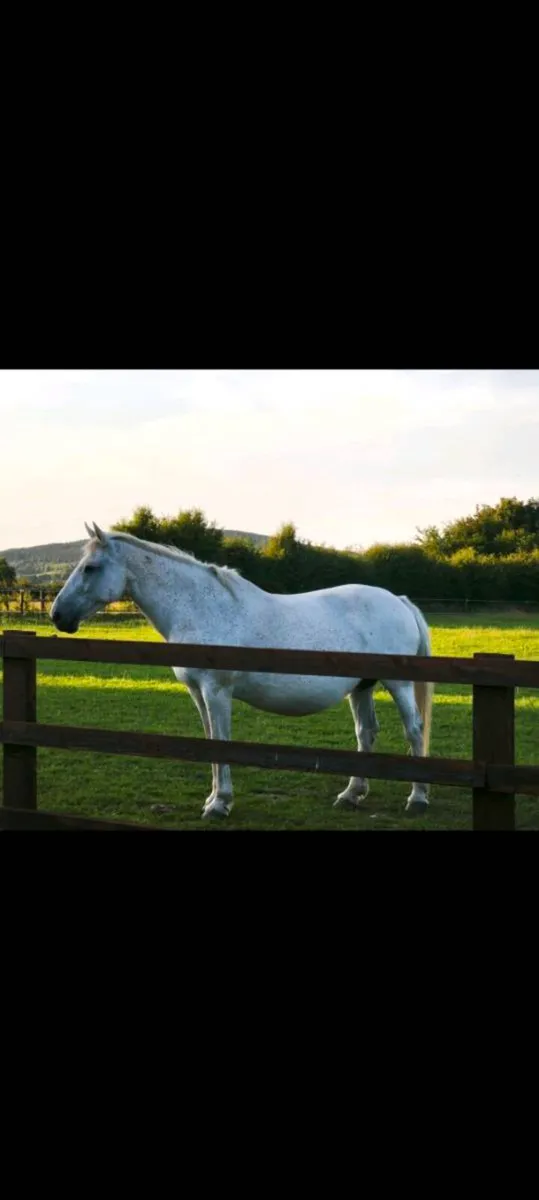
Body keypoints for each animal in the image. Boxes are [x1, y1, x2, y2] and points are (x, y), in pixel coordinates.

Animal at [50, 522, 434, 819]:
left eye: (90, 567)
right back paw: (351, 795)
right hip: (362, 686)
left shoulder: (216, 691)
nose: (57, 616)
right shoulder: (197, 692)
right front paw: (213, 799)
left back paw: (417, 799)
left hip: (398, 684)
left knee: (414, 730)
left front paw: (219, 805)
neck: (201, 608)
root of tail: (399, 600)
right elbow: (210, 742)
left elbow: (221, 742)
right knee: (366, 732)